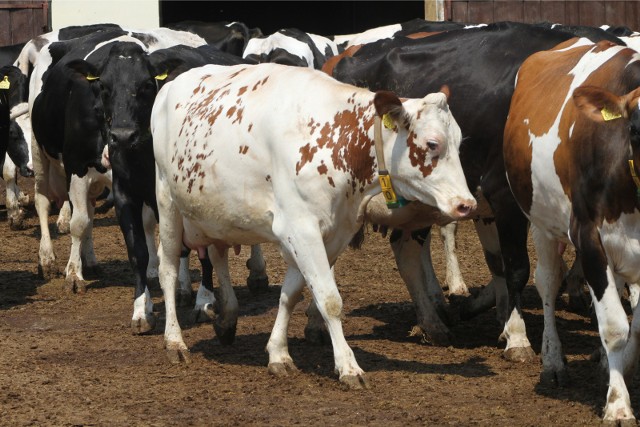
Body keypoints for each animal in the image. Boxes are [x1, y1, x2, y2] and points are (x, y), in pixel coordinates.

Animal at [152, 62, 478, 388]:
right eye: (433, 143)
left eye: (460, 141)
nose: (467, 204)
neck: (338, 143)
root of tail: (171, 83)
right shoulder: (301, 230)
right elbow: (329, 299)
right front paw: (348, 366)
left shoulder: (333, 234)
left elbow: (291, 294)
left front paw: (278, 353)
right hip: (167, 203)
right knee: (168, 270)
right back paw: (174, 342)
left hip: (216, 214)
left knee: (217, 255)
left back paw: (227, 318)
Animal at [504, 36, 640, 424]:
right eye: (634, 129)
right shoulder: (588, 236)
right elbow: (615, 327)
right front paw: (618, 403)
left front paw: (622, 368)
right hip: (542, 221)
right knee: (548, 282)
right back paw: (552, 362)